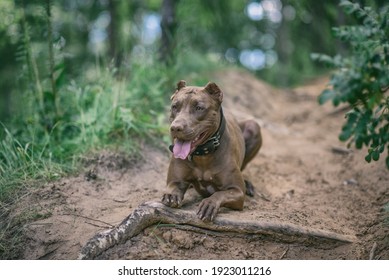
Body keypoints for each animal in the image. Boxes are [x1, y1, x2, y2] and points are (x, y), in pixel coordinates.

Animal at [161, 80, 260, 221]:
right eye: (175, 106)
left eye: (199, 108)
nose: (175, 128)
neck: (203, 154)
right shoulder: (176, 180)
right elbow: (172, 188)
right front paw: (171, 195)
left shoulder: (237, 191)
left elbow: (219, 194)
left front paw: (209, 204)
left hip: (253, 127)